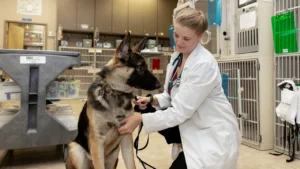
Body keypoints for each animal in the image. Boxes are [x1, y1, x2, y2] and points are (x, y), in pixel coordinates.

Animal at [64, 32, 161, 169]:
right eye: (140, 67)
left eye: (146, 66)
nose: (159, 84)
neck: (115, 92)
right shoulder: (97, 142)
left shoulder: (126, 139)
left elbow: (131, 164)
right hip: (76, 150)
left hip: (114, 156)